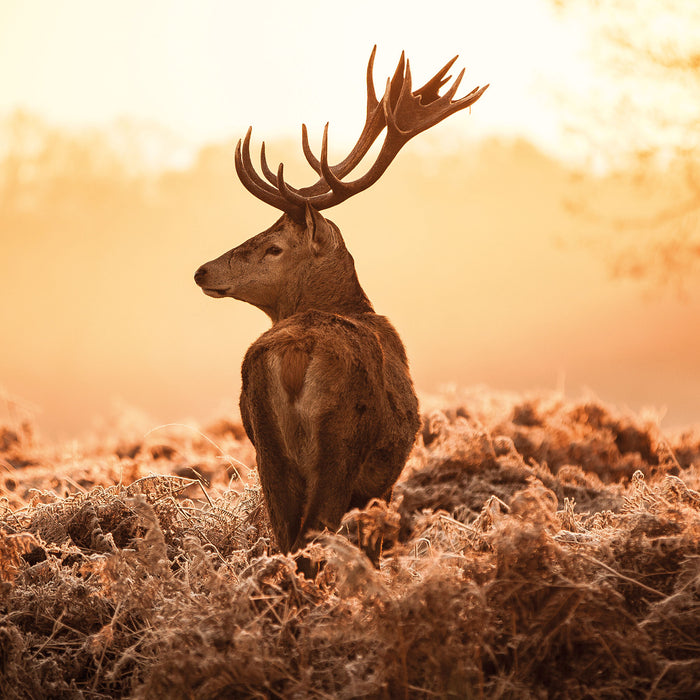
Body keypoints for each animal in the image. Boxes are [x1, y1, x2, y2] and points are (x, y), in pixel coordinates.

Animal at [193, 45, 486, 568]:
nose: (202, 271)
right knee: (314, 534)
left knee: (284, 536)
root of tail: (293, 353)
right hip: (341, 444)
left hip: (267, 449)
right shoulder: (381, 482)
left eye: (273, 247)